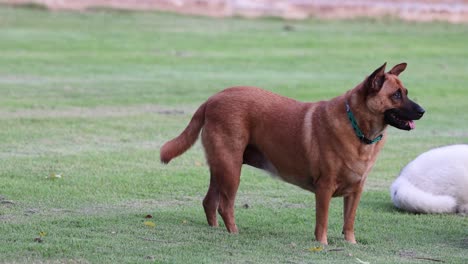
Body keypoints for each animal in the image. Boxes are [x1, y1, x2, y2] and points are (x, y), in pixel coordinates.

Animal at [160, 63, 424, 244]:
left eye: (406, 91)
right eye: (396, 95)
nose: (423, 111)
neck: (357, 127)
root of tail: (212, 99)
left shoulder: (356, 190)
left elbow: (349, 222)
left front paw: (351, 244)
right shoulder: (324, 188)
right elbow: (322, 222)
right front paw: (323, 244)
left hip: (221, 167)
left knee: (209, 202)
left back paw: (216, 230)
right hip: (231, 168)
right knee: (225, 206)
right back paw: (234, 233)